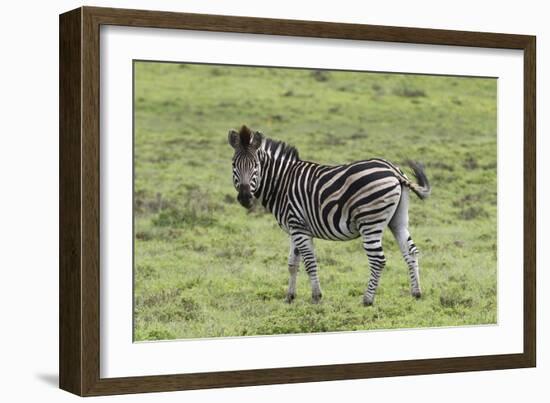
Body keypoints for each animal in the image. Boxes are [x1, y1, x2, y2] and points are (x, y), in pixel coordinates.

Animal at [229, 126, 432, 306]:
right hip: (398, 220)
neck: (282, 182)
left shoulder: (299, 227)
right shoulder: (294, 228)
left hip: (370, 222)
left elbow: (309, 263)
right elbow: (292, 264)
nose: (245, 197)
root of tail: (393, 170)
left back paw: (367, 300)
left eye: (256, 166)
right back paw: (416, 293)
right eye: (233, 165)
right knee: (411, 252)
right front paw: (289, 297)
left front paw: (316, 297)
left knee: (378, 260)